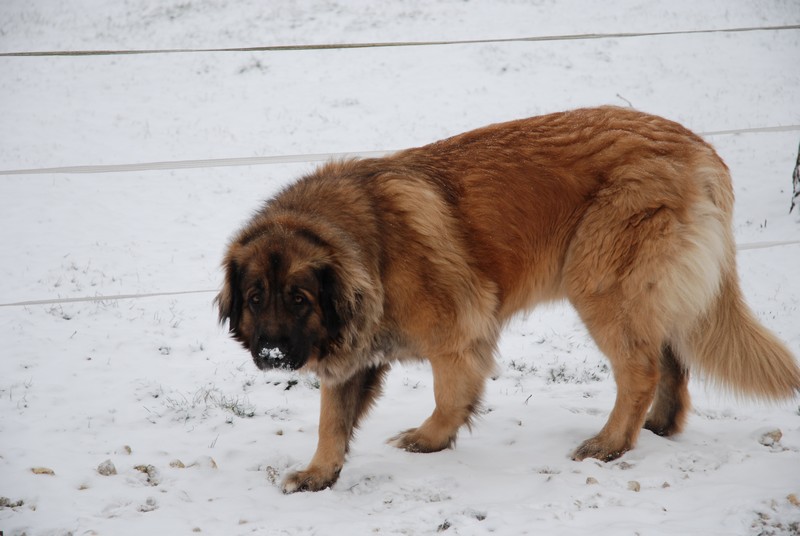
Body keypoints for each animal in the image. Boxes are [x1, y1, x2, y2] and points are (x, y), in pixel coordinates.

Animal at [217, 105, 800, 494]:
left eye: (299, 299)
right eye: (256, 297)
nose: (270, 354)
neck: (371, 244)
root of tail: (700, 150)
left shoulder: (459, 330)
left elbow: (449, 395)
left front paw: (429, 440)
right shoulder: (353, 353)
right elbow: (331, 420)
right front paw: (319, 472)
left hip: (600, 285)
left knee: (640, 370)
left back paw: (610, 444)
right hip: (645, 296)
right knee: (671, 361)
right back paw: (656, 428)